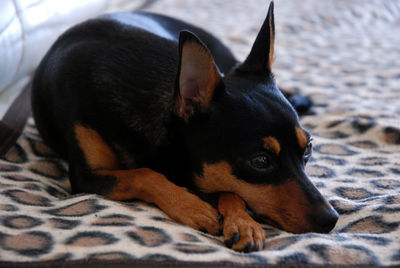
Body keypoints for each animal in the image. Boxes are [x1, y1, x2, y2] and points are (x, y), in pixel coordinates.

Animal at [32, 2, 338, 252]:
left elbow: (229, 189)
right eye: (260, 161)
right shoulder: (85, 178)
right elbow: (144, 173)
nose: (332, 219)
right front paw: (192, 206)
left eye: (308, 149)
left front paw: (243, 223)